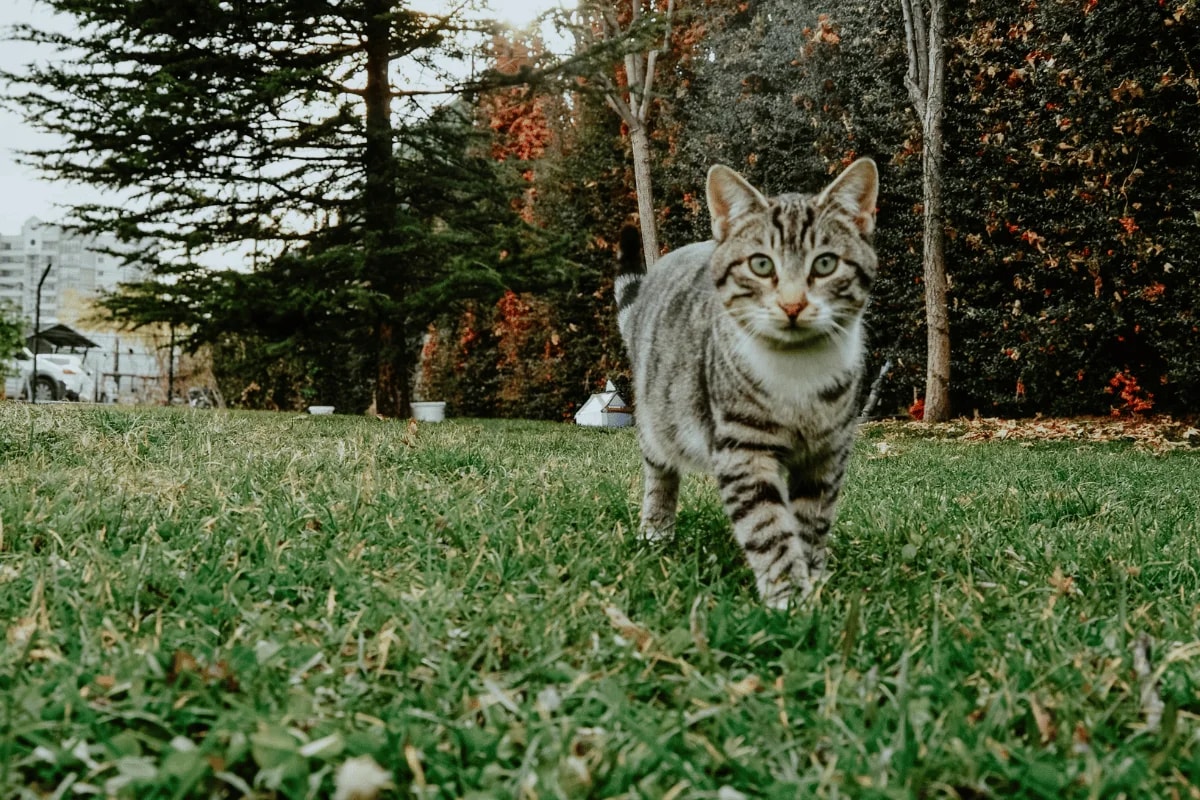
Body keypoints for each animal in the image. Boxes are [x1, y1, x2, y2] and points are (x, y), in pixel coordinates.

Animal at [614, 159, 878, 609]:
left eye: (825, 264)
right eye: (761, 265)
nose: (793, 304)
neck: (797, 371)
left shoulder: (827, 453)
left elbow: (811, 521)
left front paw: (813, 578)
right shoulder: (743, 448)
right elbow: (767, 527)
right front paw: (790, 598)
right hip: (656, 416)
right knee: (660, 473)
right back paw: (655, 532)